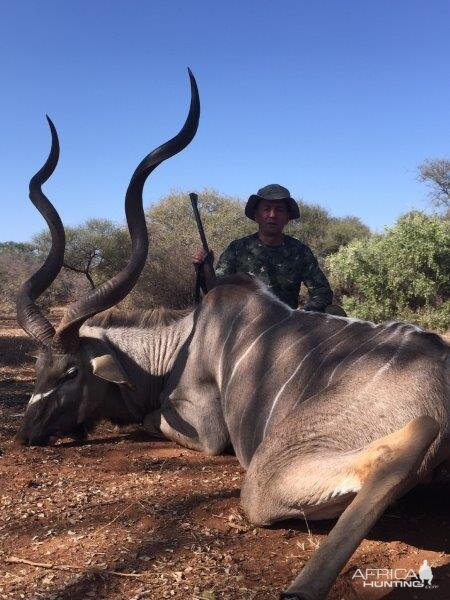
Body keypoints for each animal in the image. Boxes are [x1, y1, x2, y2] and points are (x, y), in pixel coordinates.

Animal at [15, 77, 448, 600]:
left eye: (71, 371)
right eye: (38, 368)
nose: (25, 433)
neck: (176, 347)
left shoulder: (203, 431)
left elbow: (153, 422)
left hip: (270, 474)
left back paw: (301, 587)